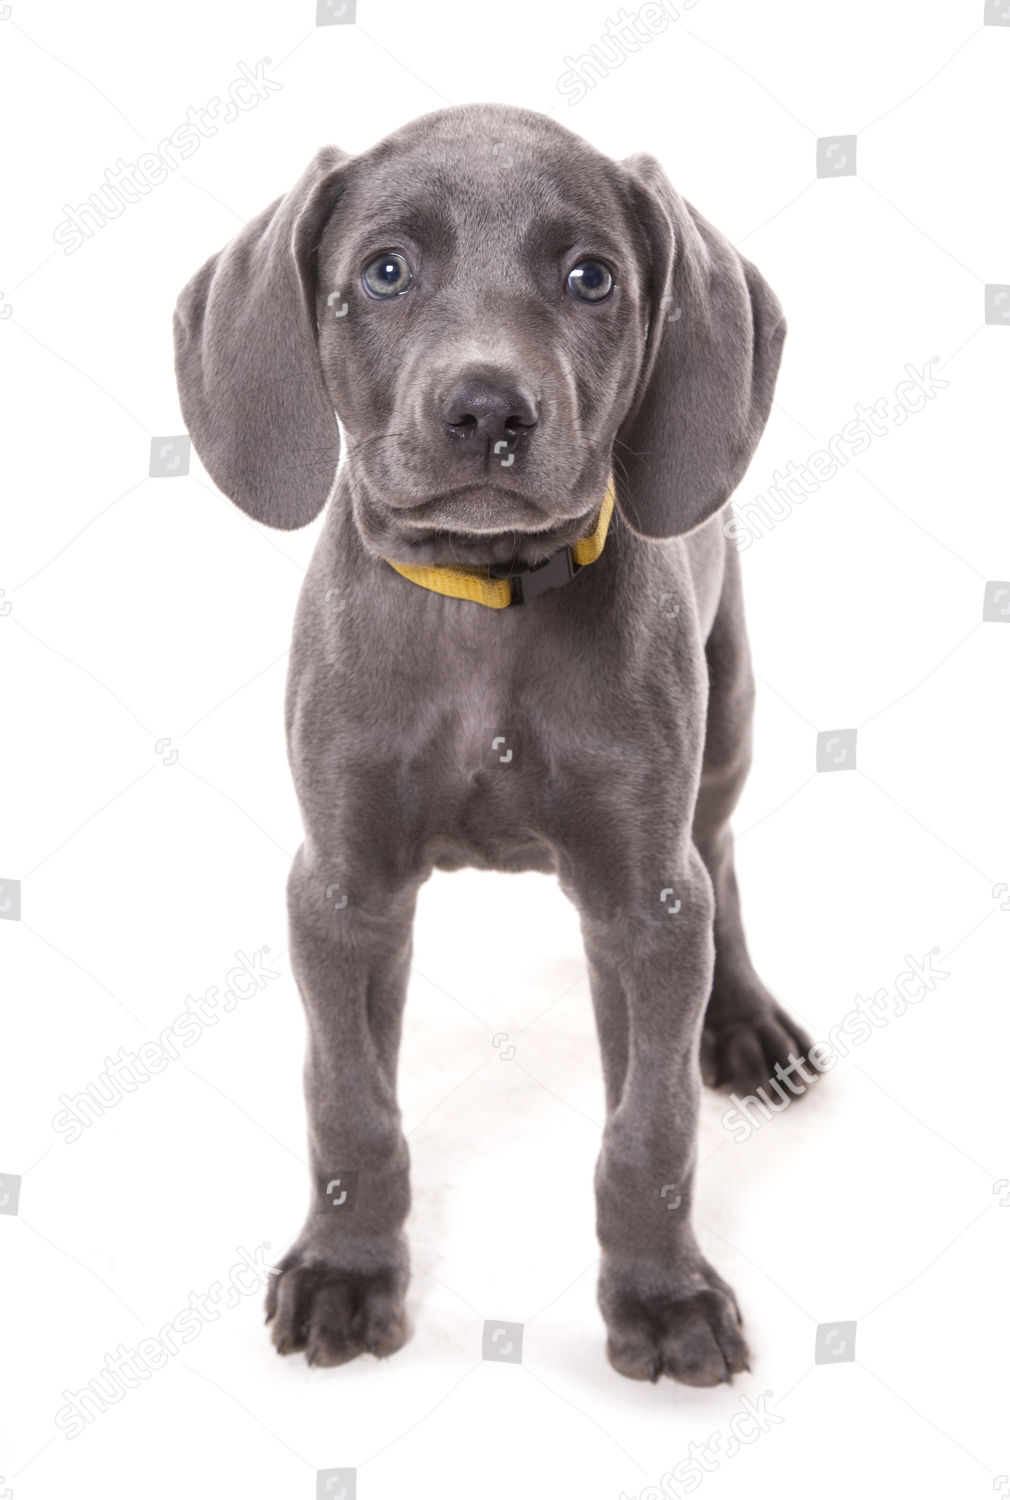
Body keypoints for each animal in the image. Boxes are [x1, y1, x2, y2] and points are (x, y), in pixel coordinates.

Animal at [173, 102, 816, 1380]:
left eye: (591, 277)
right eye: (384, 272)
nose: (486, 411)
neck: (487, 605)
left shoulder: (644, 904)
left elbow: (650, 1129)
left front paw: (662, 1298)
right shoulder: (341, 889)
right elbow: (348, 1105)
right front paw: (344, 1271)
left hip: (726, 713)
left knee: (717, 859)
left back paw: (743, 1024)